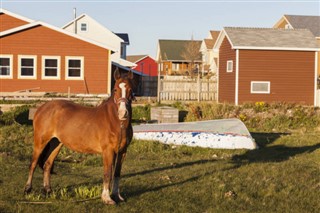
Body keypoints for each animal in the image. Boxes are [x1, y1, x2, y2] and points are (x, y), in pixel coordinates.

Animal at [24, 69, 134, 204]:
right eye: (115, 89)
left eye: (130, 90)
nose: (123, 113)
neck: (116, 122)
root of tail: (41, 108)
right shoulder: (108, 151)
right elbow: (108, 173)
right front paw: (107, 198)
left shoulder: (122, 151)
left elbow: (117, 173)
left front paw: (116, 196)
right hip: (40, 141)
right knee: (33, 163)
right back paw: (28, 189)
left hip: (56, 143)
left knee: (47, 164)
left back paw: (48, 190)